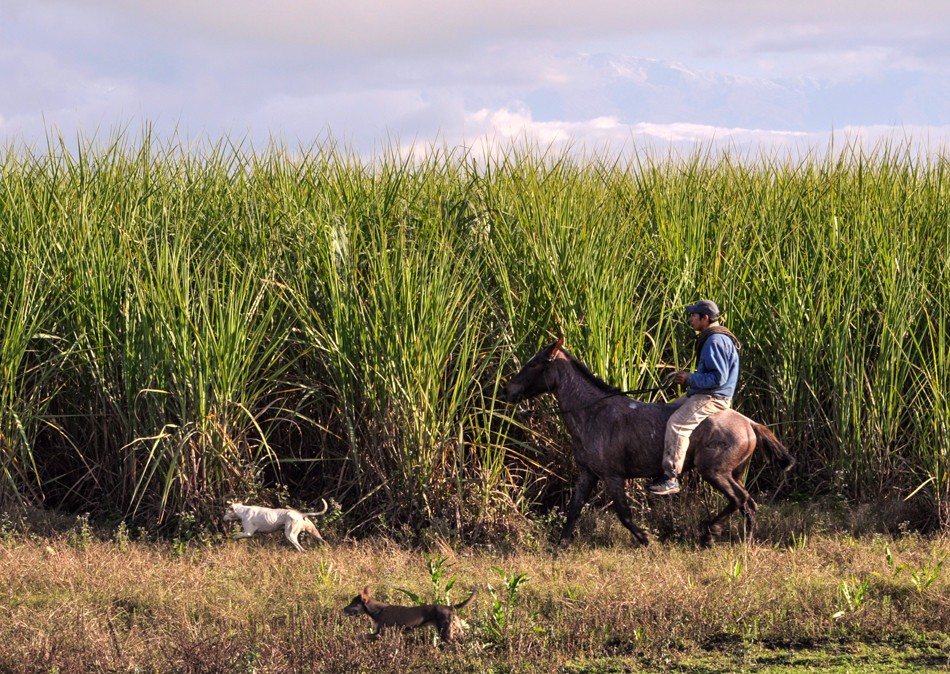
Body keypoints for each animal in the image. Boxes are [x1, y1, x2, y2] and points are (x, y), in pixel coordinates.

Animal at [342, 584, 476, 640]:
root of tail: (449, 607)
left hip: (445, 634)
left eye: (353, 603)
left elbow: (360, 636)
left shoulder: (381, 634)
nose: (343, 609)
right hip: (456, 630)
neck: (377, 611)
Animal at [498, 336, 796, 544]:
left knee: (742, 500)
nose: (506, 391)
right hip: (732, 472)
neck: (593, 412)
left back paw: (726, 537)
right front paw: (561, 544)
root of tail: (750, 423)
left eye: (533, 363)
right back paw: (723, 536)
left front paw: (645, 539)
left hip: (715, 471)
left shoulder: (612, 476)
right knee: (742, 502)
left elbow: (623, 513)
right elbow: (574, 508)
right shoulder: (588, 473)